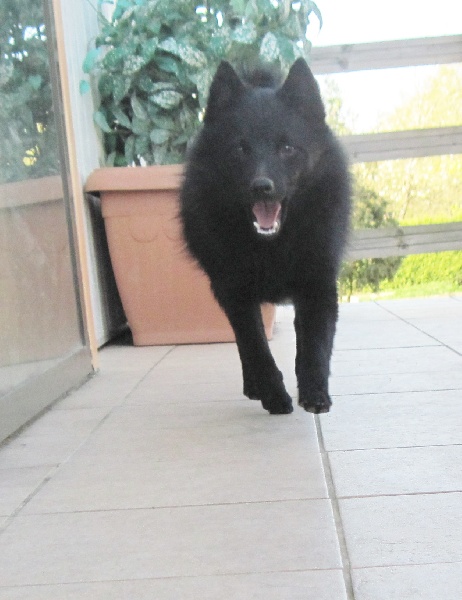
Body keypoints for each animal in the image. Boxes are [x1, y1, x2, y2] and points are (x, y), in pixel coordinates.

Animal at [180, 58, 351, 414]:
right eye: (240, 149)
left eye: (286, 147)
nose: (262, 187)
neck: (273, 246)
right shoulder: (234, 293)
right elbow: (255, 347)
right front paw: (273, 394)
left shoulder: (317, 286)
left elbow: (314, 345)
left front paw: (314, 393)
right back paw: (254, 386)